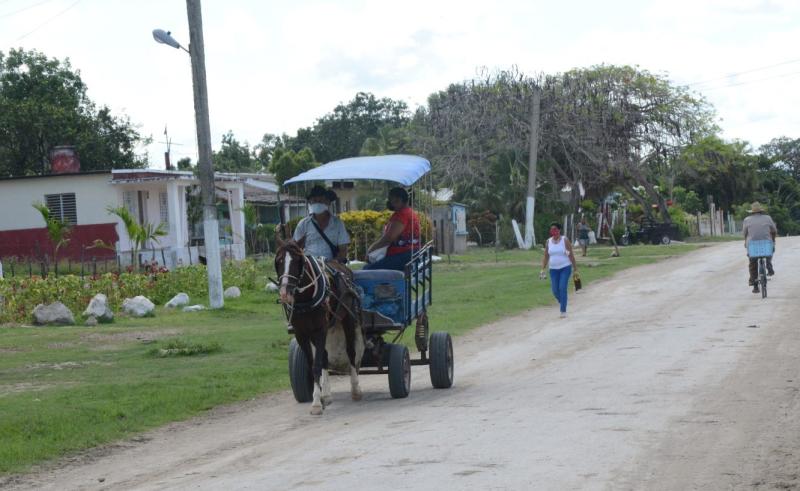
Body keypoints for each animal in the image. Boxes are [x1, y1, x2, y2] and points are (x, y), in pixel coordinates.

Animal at [274, 240, 364, 414]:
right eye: (279, 261)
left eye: (298, 261)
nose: (285, 293)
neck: (304, 298)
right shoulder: (301, 334)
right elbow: (314, 363)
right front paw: (321, 397)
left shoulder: (320, 330)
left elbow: (317, 365)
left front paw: (316, 403)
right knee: (325, 357)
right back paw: (327, 395)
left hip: (347, 319)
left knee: (351, 351)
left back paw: (355, 389)